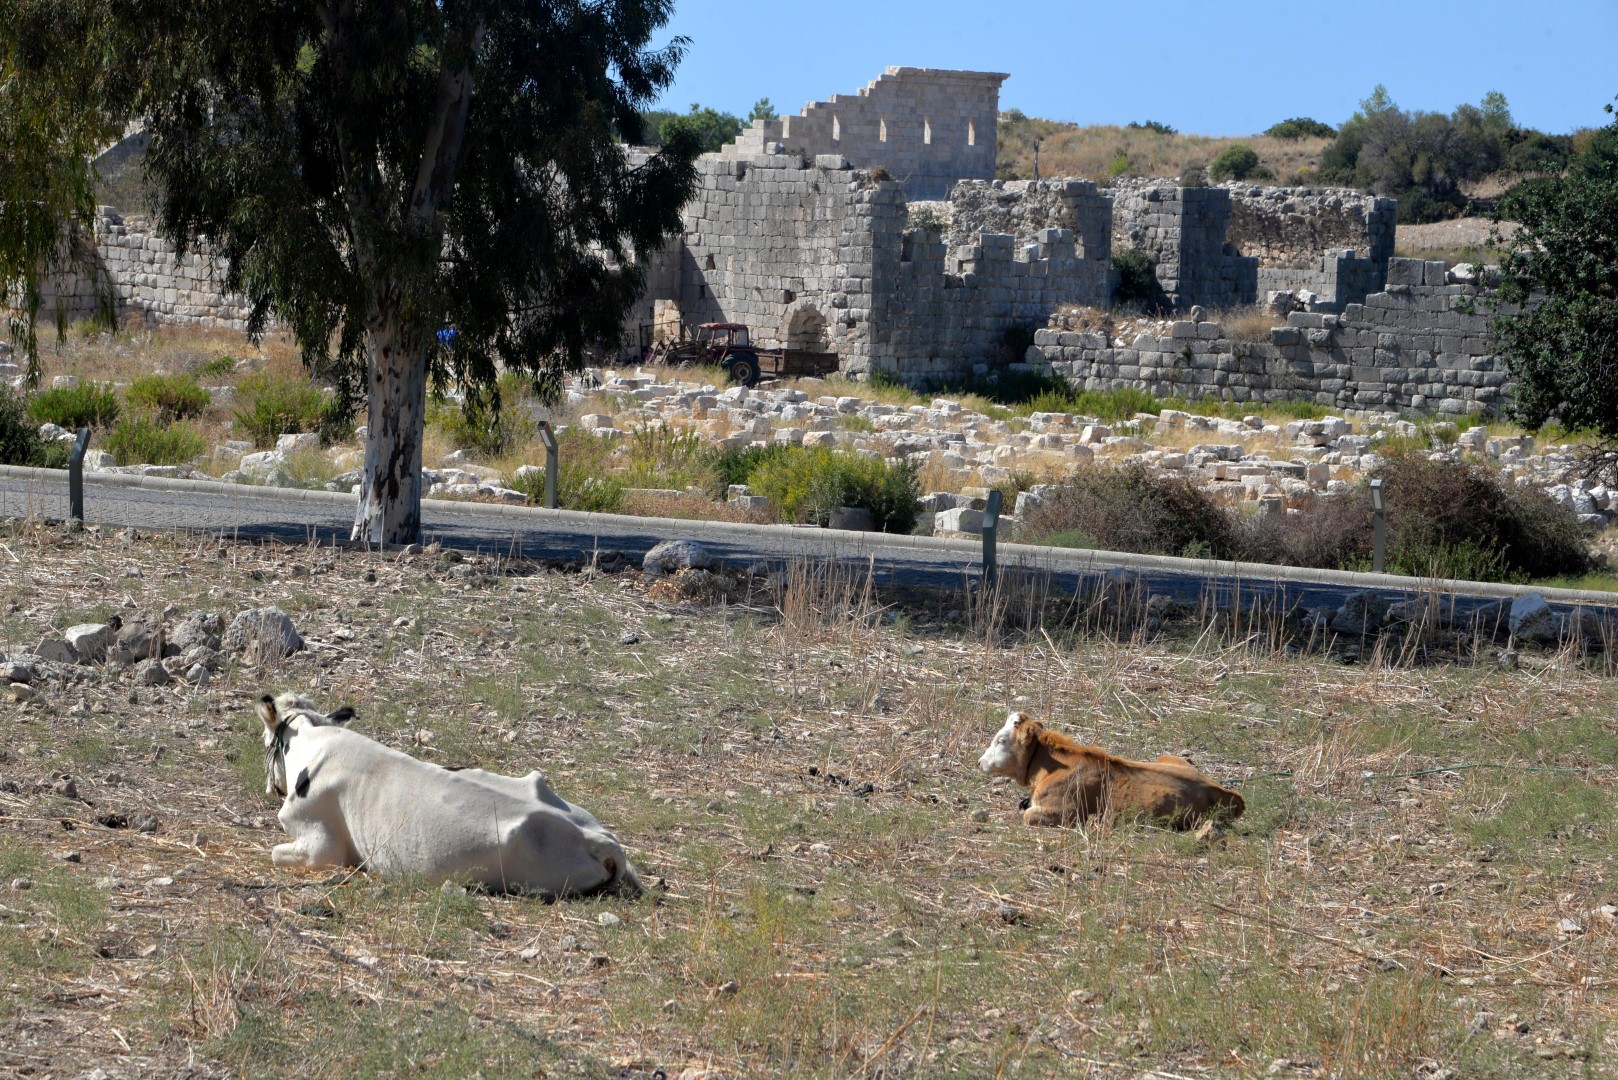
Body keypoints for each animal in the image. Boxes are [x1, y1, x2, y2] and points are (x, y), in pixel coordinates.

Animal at [257, 693, 637, 893]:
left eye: (264, 741)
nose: (270, 787)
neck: (314, 746)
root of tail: (603, 843)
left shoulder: (323, 849)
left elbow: (277, 853)